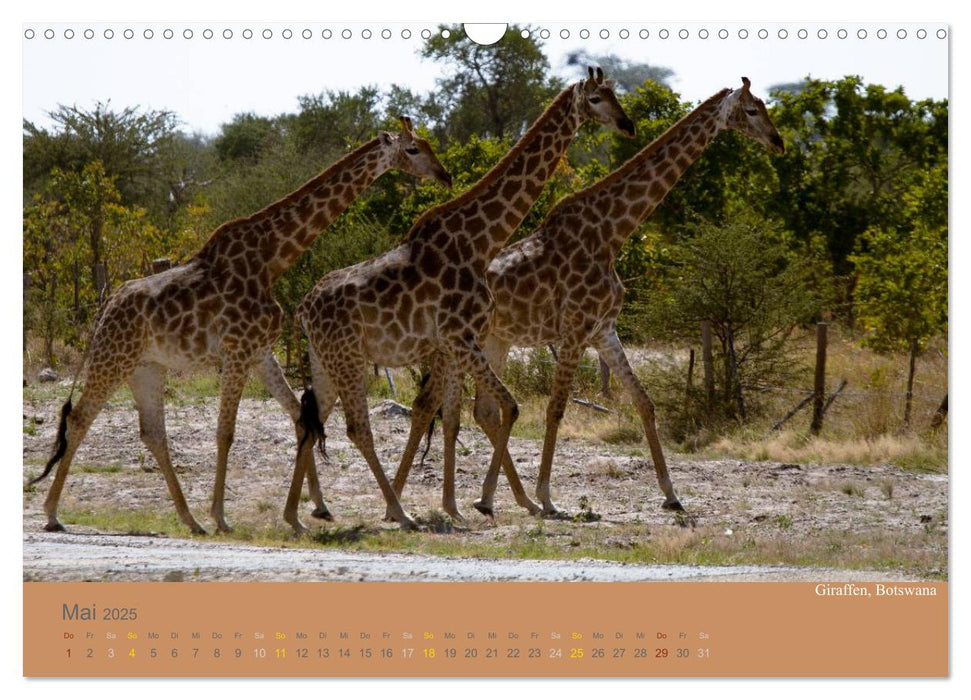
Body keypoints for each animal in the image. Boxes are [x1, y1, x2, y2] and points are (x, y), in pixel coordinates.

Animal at [30, 119, 452, 536]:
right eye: (413, 149)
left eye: (431, 145)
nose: (445, 175)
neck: (271, 261)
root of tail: (105, 309)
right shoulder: (236, 350)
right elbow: (226, 431)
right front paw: (222, 516)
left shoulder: (260, 350)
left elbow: (299, 416)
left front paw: (313, 509)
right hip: (113, 358)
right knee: (81, 418)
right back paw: (52, 513)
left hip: (145, 368)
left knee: (152, 432)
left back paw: (191, 520)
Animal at [292, 69, 636, 532]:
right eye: (597, 99)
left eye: (616, 94)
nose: (627, 125)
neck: (479, 241)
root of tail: (303, 309)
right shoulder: (459, 336)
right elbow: (507, 407)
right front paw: (487, 502)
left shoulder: (458, 341)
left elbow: (460, 415)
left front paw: (468, 503)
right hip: (347, 358)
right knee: (355, 428)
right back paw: (398, 513)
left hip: (327, 360)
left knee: (311, 421)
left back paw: (301, 514)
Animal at [398, 78, 784, 516]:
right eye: (752, 110)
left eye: (764, 106)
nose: (778, 141)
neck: (612, 233)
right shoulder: (576, 329)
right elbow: (556, 408)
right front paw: (548, 497)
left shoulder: (604, 330)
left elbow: (644, 402)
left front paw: (671, 494)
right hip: (458, 344)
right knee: (433, 405)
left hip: (493, 341)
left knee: (477, 409)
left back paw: (485, 498)